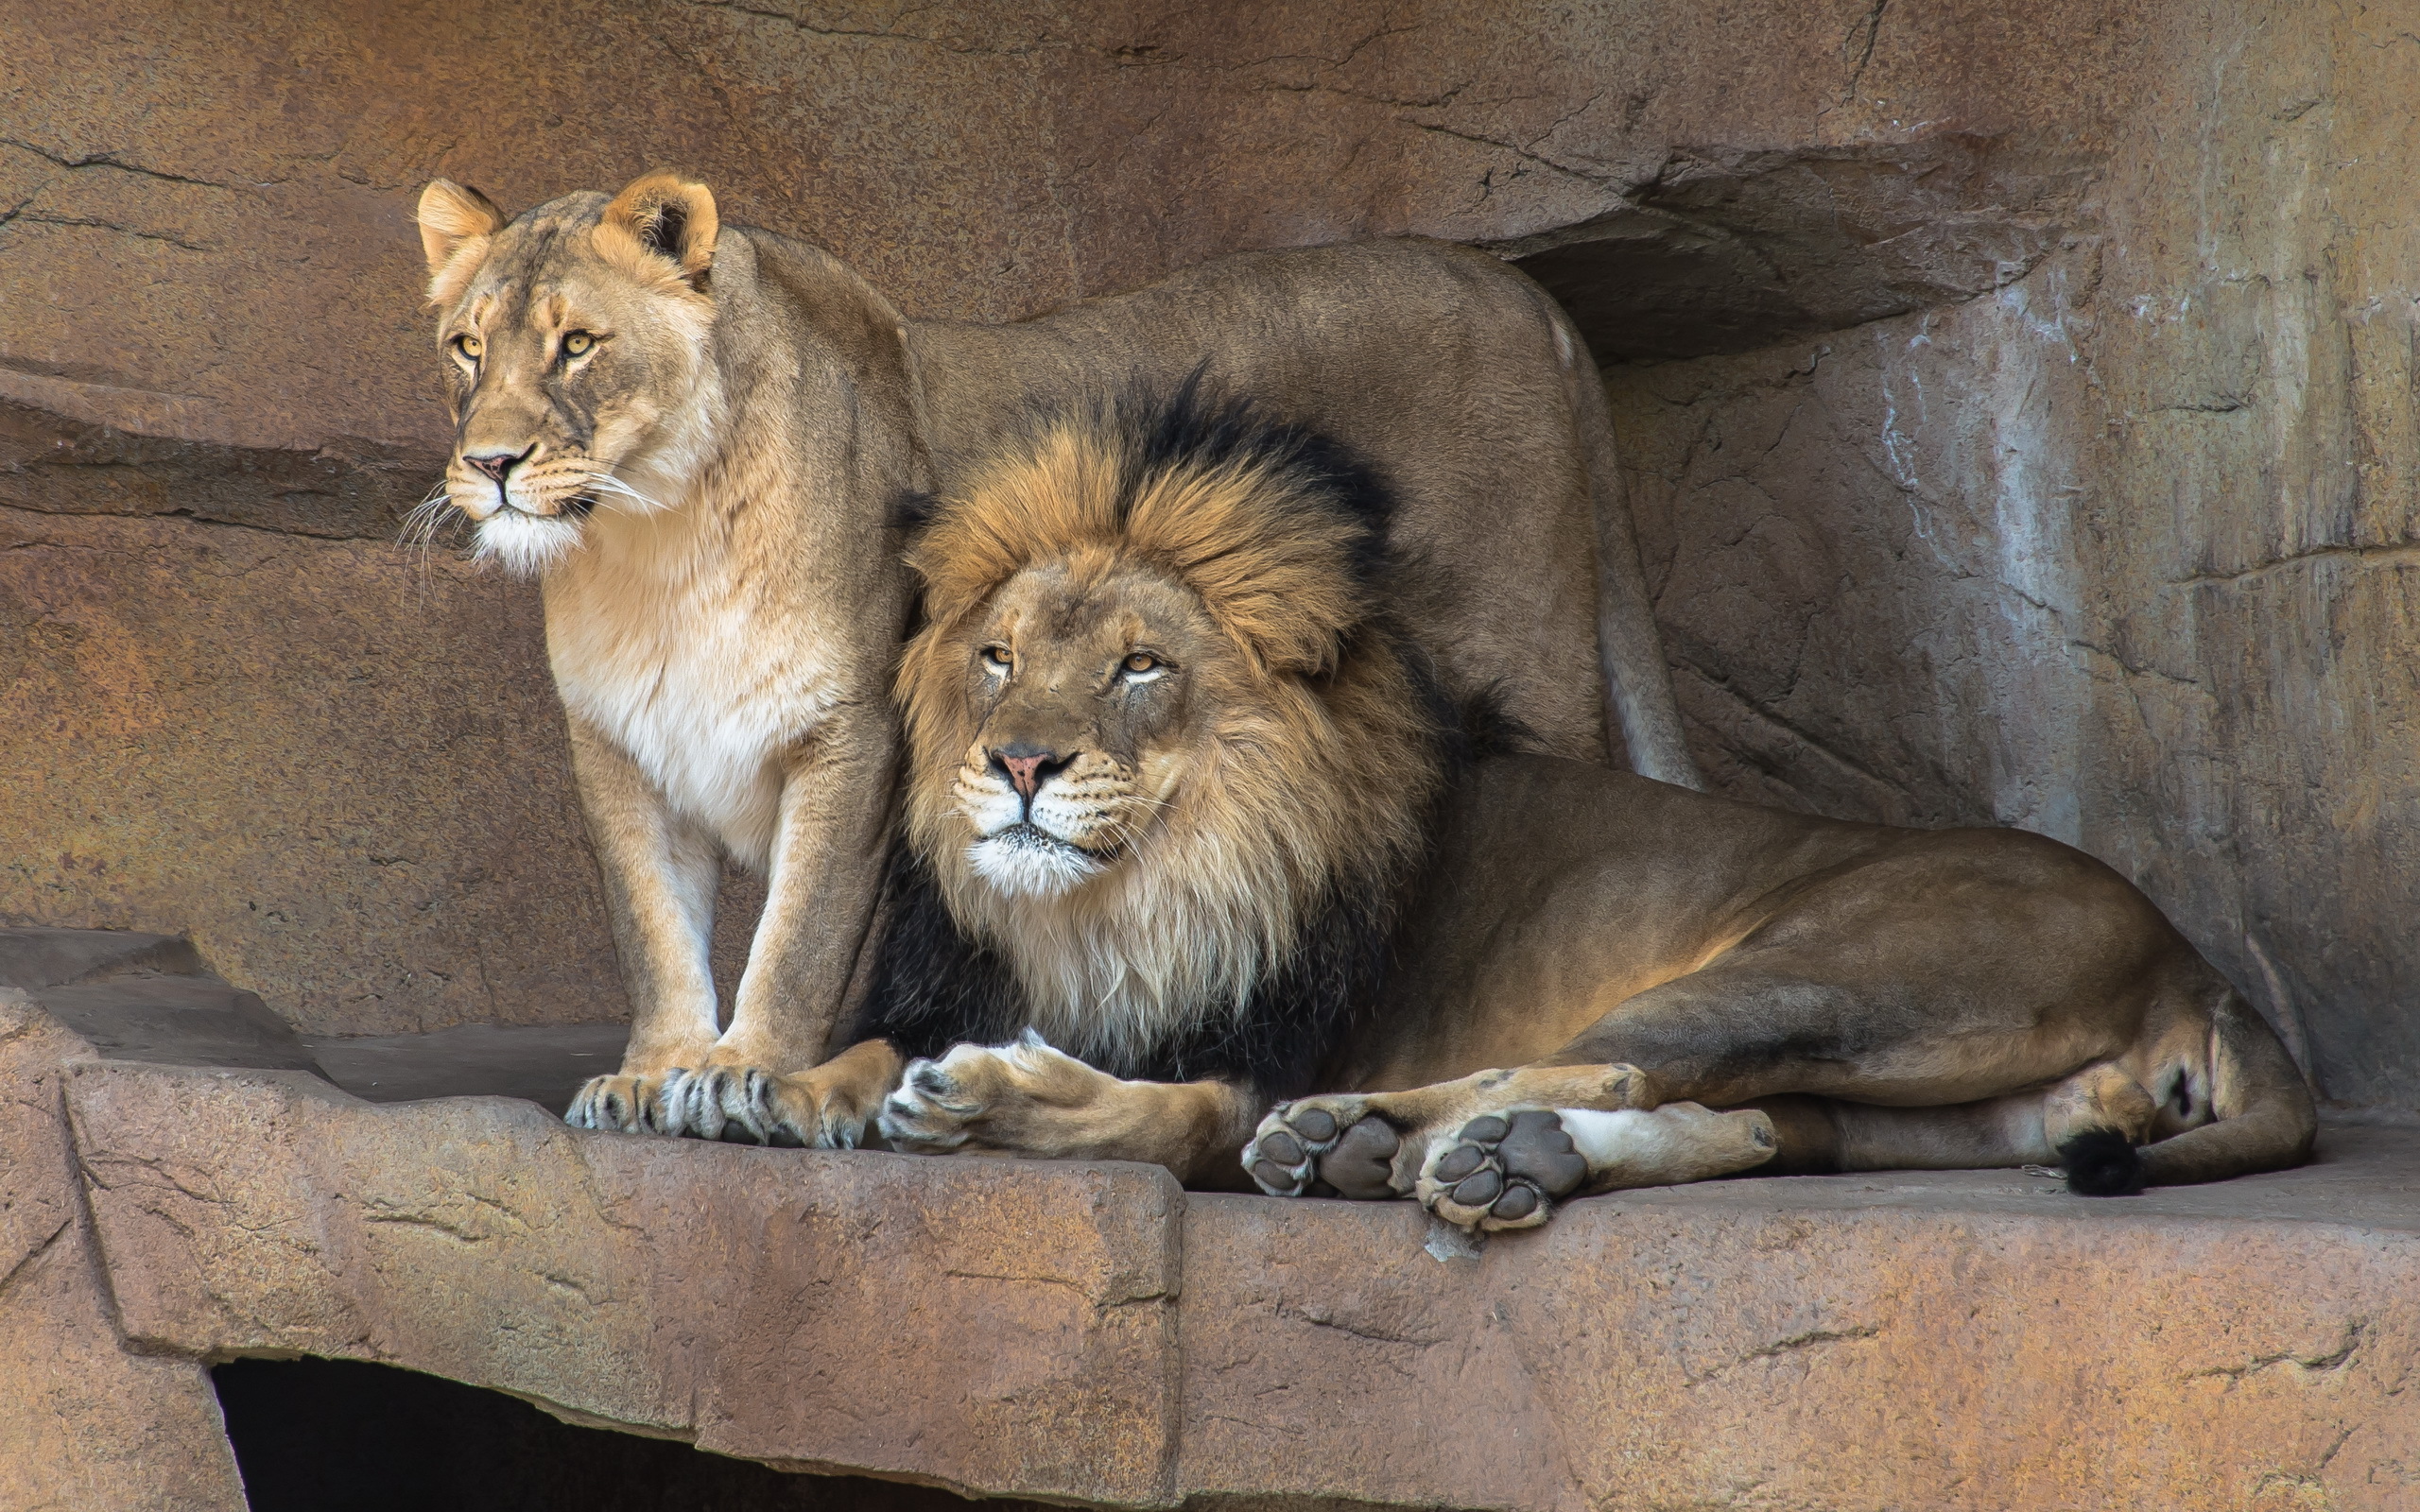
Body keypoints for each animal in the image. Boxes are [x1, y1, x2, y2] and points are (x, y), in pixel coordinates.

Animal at [406, 170, 1694, 1137]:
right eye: (465, 348)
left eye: (578, 344)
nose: (490, 465)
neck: (653, 542)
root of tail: (1525, 294)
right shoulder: (619, 747)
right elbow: (654, 930)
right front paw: (652, 1070)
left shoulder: (856, 734)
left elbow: (800, 934)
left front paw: (745, 1071)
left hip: (1531, 666)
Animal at [822, 382, 2313, 1219]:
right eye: (998, 657)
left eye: (1141, 666)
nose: (1018, 763)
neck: (1131, 903)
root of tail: (2188, 953)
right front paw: (798, 1088)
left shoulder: (1266, 1044)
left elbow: (1178, 1113)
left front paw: (988, 1103)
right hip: (1958, 1109)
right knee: (1756, 1125)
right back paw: (1501, 1164)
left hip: (1835, 972)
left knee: (1598, 1060)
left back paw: (1365, 1139)